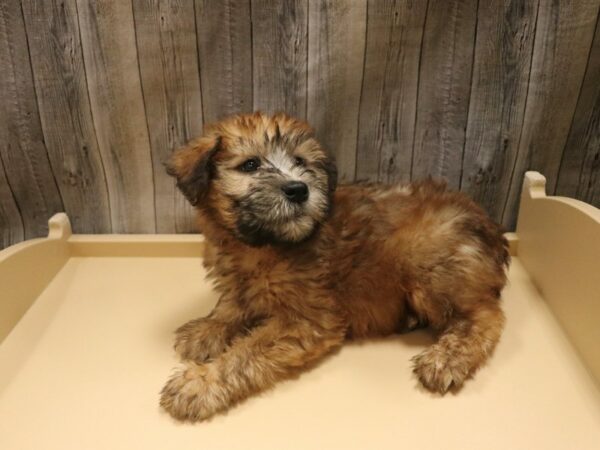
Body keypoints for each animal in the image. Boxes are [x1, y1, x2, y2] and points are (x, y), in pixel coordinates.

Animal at [159, 112, 506, 422]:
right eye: (250, 165)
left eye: (301, 162)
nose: (299, 189)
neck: (264, 245)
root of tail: (492, 230)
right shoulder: (241, 283)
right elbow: (230, 305)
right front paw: (206, 329)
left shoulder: (308, 320)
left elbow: (247, 352)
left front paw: (200, 384)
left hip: (426, 262)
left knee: (486, 316)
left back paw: (447, 358)